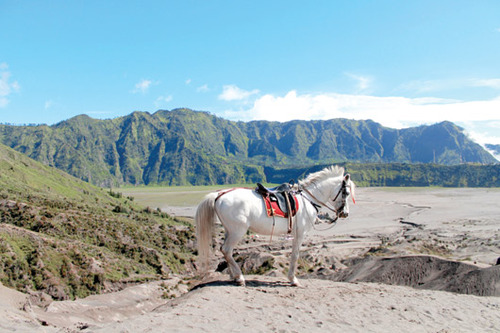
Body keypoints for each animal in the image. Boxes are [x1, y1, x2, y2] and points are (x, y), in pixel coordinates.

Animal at [193, 165, 354, 286]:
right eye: (345, 192)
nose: (345, 213)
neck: (307, 199)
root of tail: (219, 195)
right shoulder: (300, 233)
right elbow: (295, 255)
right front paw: (293, 279)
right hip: (237, 231)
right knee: (227, 250)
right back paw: (239, 277)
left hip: (229, 230)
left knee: (225, 251)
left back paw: (233, 276)